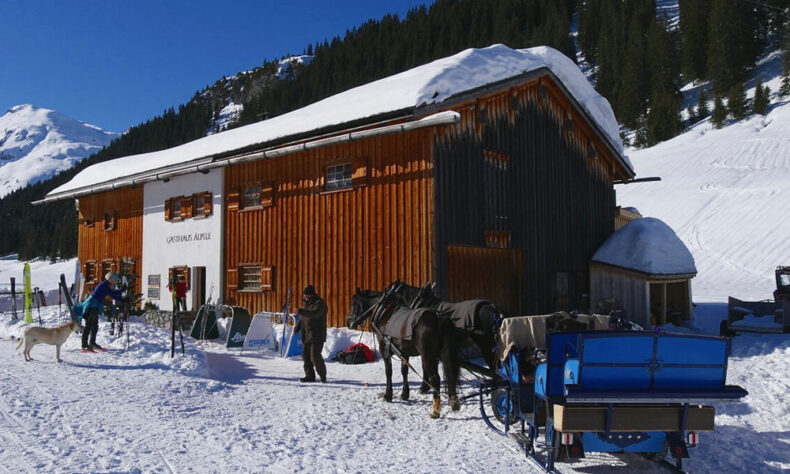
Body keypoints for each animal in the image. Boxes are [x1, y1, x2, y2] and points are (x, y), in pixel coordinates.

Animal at [348, 284, 464, 416]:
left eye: (354, 303)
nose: (349, 322)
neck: (385, 313)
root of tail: (439, 317)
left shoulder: (384, 349)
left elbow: (389, 372)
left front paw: (388, 395)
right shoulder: (404, 352)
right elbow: (404, 371)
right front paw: (405, 394)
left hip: (428, 356)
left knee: (435, 379)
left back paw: (435, 409)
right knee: (451, 375)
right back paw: (453, 403)